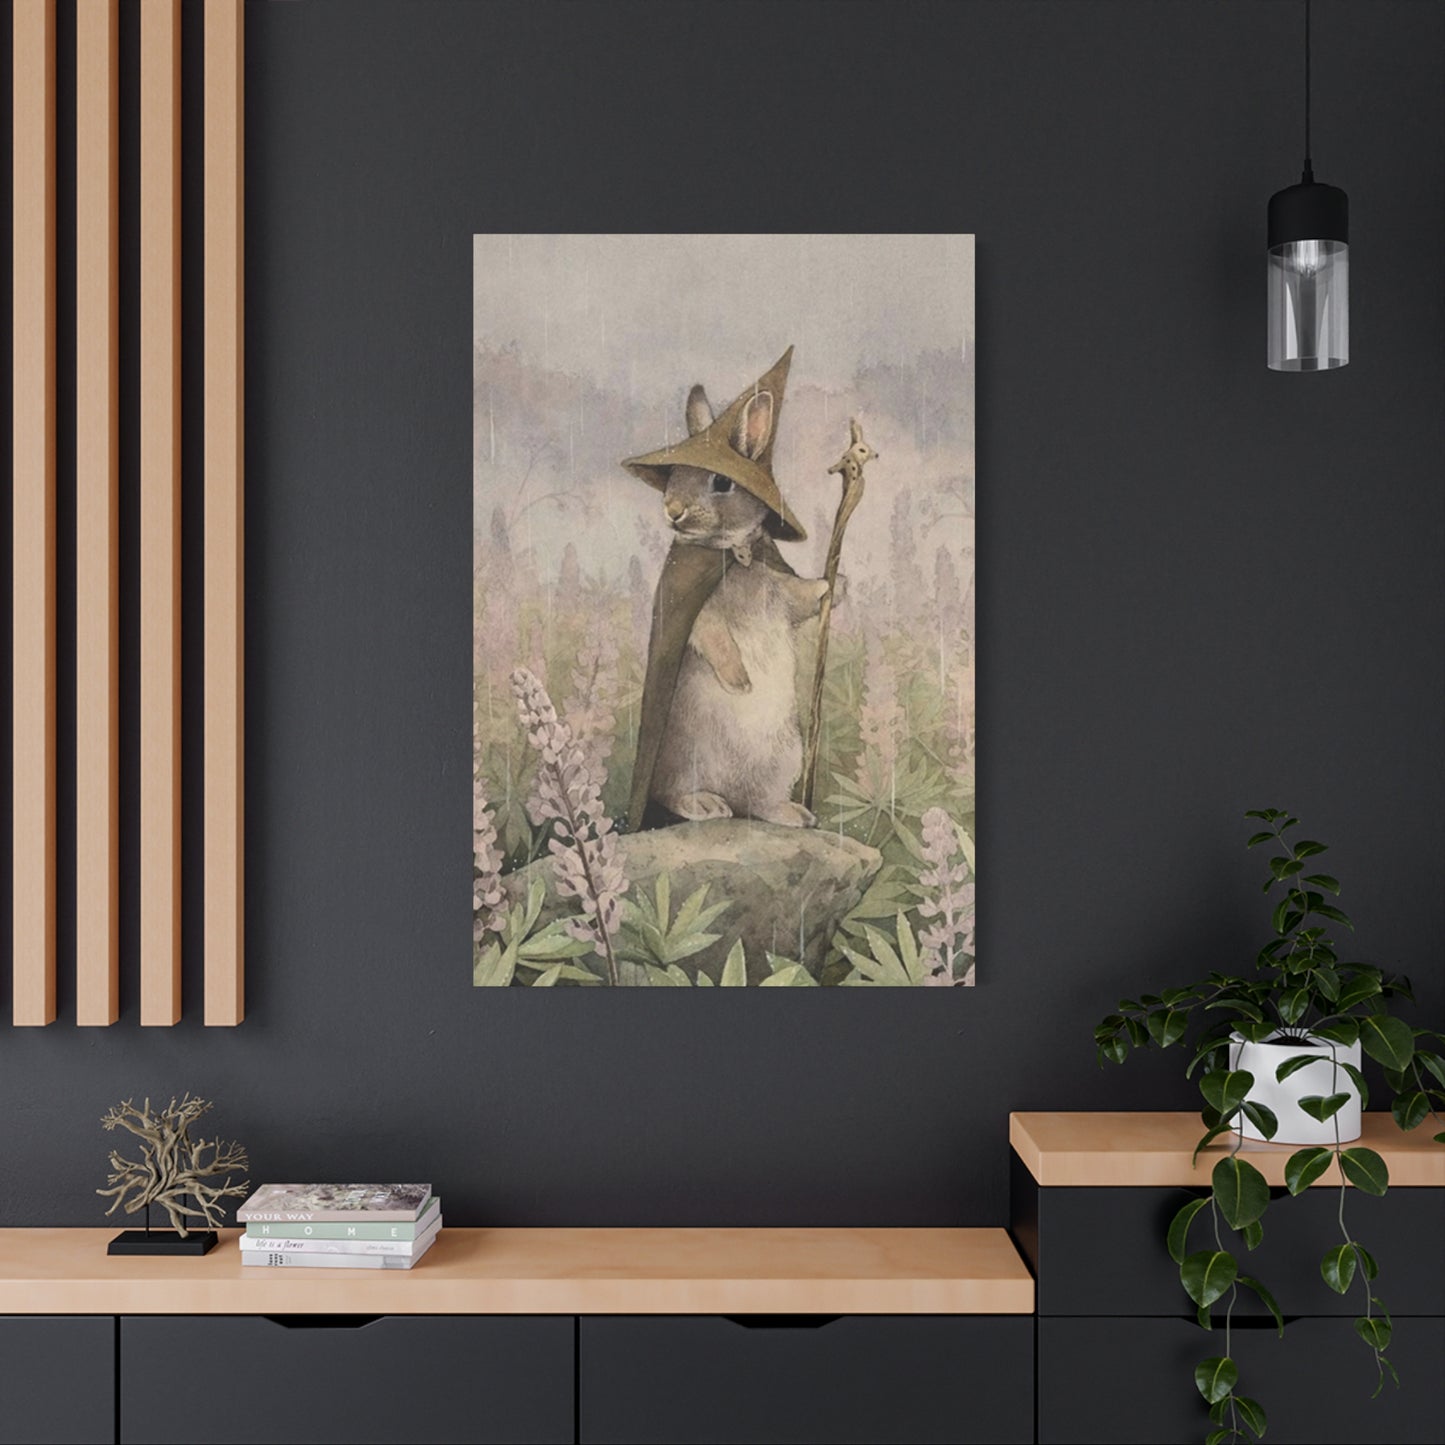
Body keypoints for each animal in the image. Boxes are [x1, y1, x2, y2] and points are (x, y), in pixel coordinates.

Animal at [651, 383, 830, 828]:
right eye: (674, 475)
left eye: (720, 481)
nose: (673, 510)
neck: (734, 551)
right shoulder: (700, 613)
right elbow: (714, 636)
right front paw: (740, 681)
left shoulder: (779, 591)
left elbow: (801, 598)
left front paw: (832, 585)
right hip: (681, 754)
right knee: (673, 793)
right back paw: (704, 805)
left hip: (785, 756)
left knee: (757, 802)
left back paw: (793, 813)